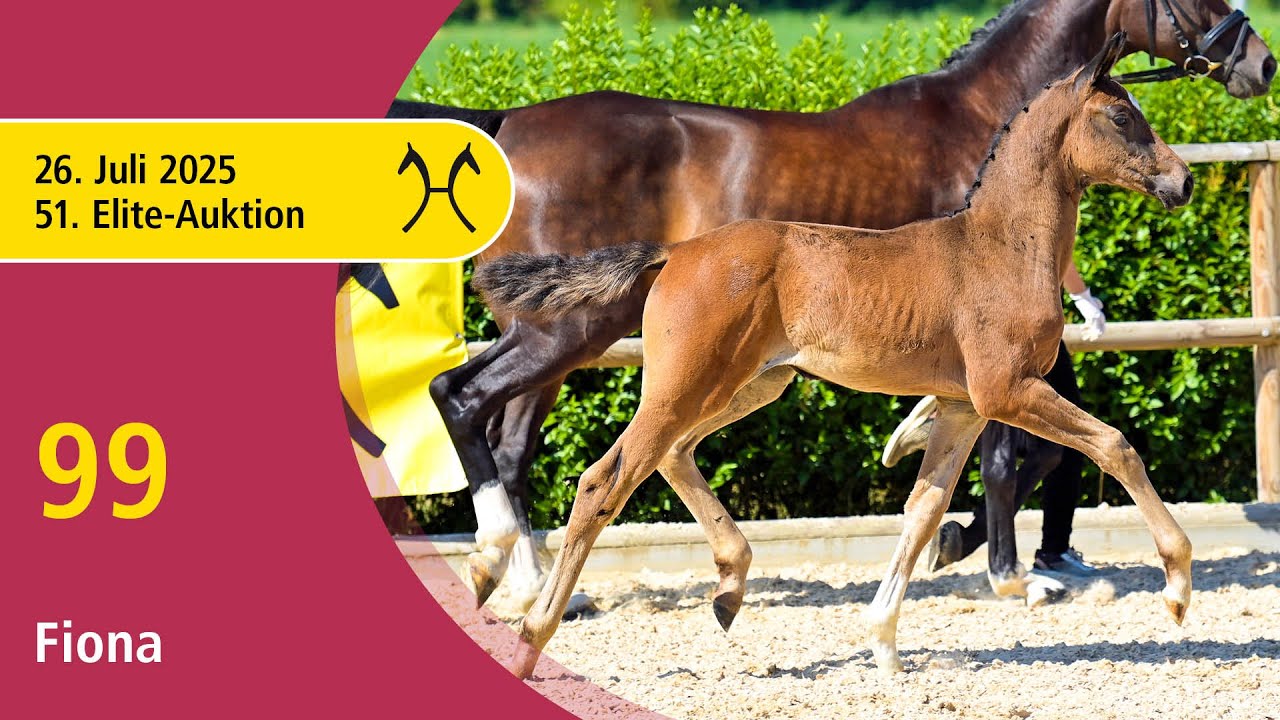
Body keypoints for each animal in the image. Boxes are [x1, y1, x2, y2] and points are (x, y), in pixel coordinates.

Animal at [402, 0, 1274, 611]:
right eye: (1124, 115)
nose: (1260, 63)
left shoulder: (987, 372)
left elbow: (1007, 457)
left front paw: (969, 529)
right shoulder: (1000, 375)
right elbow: (1044, 451)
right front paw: (1009, 568)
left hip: (649, 351)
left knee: (531, 436)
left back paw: (573, 584)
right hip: (576, 334)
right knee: (478, 406)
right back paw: (510, 569)